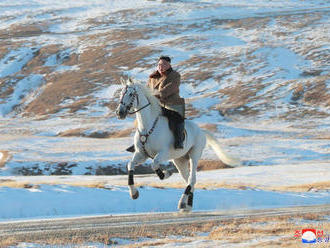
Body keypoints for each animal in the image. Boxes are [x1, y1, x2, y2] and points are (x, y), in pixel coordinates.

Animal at [116, 79, 240, 211]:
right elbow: (130, 165)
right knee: (189, 180)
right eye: (121, 94)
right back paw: (187, 205)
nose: (119, 112)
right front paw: (134, 193)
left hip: (194, 155)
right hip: (180, 160)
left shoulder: (163, 153)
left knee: (192, 179)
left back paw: (182, 203)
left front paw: (166, 174)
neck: (147, 127)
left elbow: (154, 164)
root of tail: (201, 131)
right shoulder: (141, 154)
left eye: (131, 94)